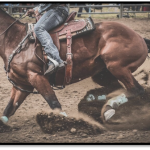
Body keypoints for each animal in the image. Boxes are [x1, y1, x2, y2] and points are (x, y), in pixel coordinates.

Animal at [0, 8, 148, 125]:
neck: (14, 39)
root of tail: (140, 37)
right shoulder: (22, 85)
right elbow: (9, 109)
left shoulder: (37, 77)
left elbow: (54, 104)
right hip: (103, 74)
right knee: (119, 89)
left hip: (117, 67)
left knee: (137, 90)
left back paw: (110, 107)